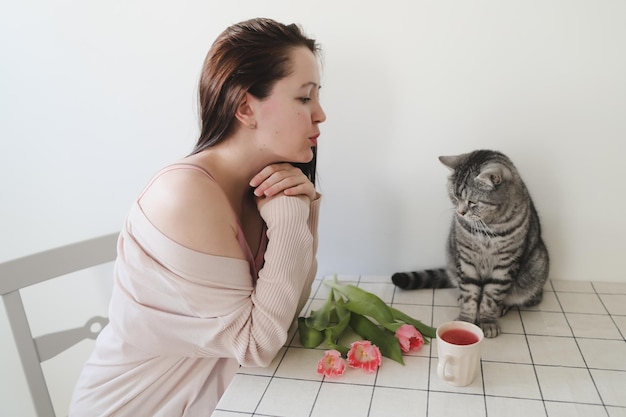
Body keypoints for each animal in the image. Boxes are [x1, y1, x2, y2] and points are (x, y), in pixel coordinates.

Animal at [392, 148, 548, 336]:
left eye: (472, 202)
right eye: (454, 197)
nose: (460, 212)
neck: (487, 229)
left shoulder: (504, 265)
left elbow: (491, 297)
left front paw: (487, 320)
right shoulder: (466, 259)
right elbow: (469, 293)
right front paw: (465, 320)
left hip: (536, 267)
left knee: (530, 297)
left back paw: (504, 306)